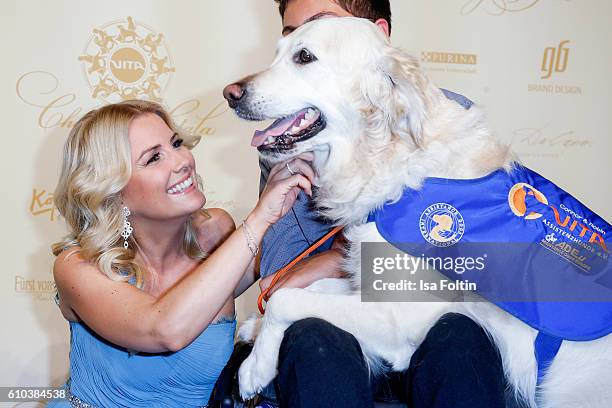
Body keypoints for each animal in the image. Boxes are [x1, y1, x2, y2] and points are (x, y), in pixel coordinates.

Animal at [222, 17, 608, 406]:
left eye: (304, 56)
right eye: (277, 52)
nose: (230, 93)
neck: (392, 158)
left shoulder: (401, 316)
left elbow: (284, 298)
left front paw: (255, 367)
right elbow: (307, 287)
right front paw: (255, 332)